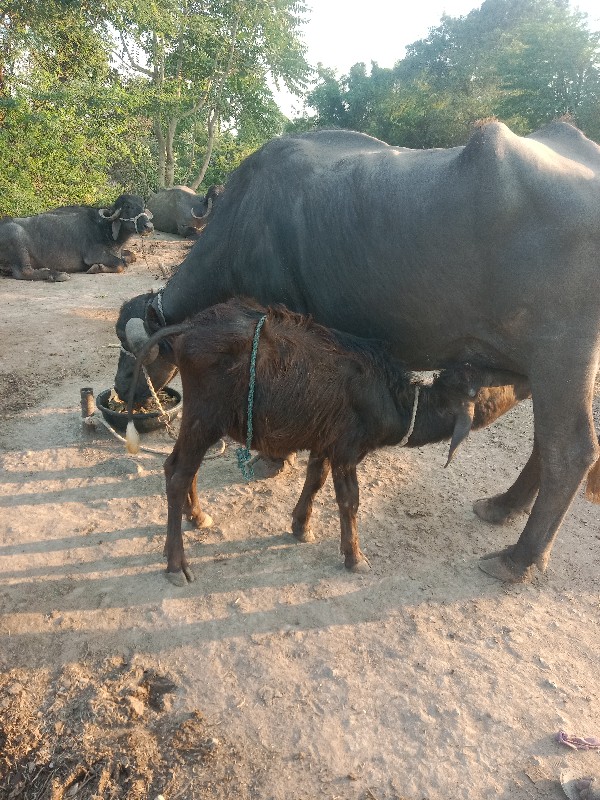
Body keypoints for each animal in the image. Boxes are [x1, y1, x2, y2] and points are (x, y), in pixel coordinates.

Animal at [0, 194, 154, 282]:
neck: (104, 227)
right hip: (17, 239)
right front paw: (96, 268)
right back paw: (58, 275)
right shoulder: (93, 255)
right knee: (24, 272)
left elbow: (131, 256)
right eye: (128, 206)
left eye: (143, 206)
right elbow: (121, 264)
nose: (149, 226)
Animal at [115, 122, 600, 584]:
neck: (243, 220)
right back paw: (502, 506)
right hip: (540, 367)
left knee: (569, 451)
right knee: (545, 445)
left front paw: (272, 460)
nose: (123, 390)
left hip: (560, 358)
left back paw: (519, 558)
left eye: (131, 351)